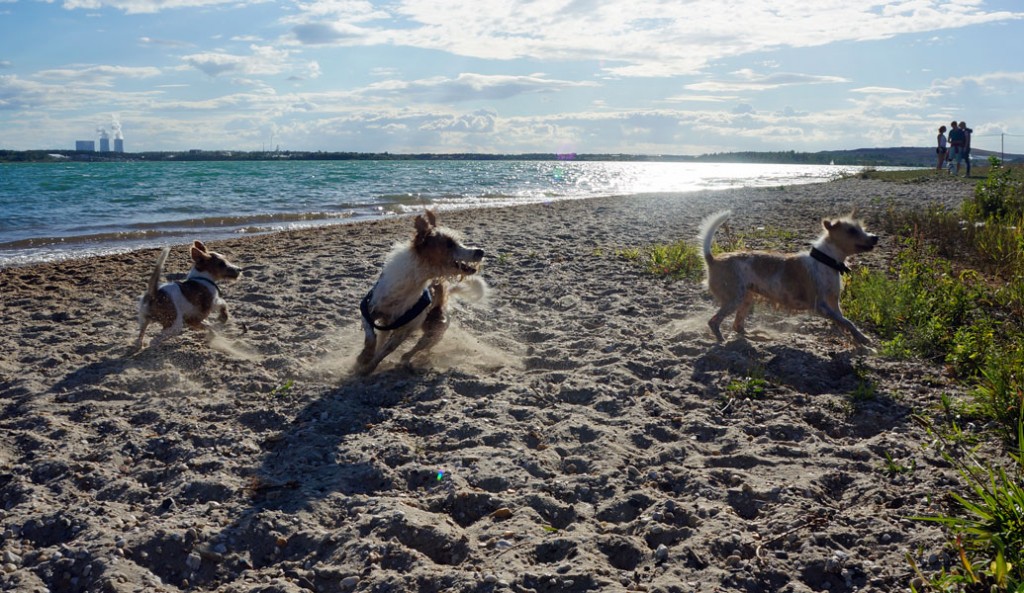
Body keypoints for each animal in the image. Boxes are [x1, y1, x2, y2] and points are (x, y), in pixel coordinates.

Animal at [356, 210, 486, 375]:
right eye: (450, 244)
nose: (481, 251)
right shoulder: (368, 310)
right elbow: (371, 336)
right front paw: (364, 356)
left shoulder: (405, 330)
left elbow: (385, 351)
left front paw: (368, 367)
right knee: (382, 339)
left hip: (435, 333)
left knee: (414, 350)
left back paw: (406, 361)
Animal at [698, 210, 878, 345]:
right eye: (852, 231)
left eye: (862, 228)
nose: (875, 237)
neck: (826, 260)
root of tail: (712, 260)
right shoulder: (821, 306)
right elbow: (848, 321)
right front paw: (863, 339)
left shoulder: (834, 304)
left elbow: (844, 321)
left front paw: (856, 339)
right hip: (734, 299)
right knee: (713, 321)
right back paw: (721, 340)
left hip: (746, 298)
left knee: (737, 325)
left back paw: (753, 336)